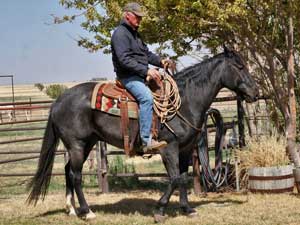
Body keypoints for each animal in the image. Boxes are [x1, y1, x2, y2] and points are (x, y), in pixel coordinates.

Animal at [27, 48, 258, 221]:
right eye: (239, 66)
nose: (255, 93)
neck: (186, 101)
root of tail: (58, 101)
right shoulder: (168, 148)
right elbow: (174, 178)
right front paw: (160, 209)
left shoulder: (184, 149)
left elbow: (183, 177)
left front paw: (186, 209)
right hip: (76, 144)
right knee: (75, 175)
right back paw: (87, 212)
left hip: (87, 144)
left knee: (68, 171)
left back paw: (71, 210)